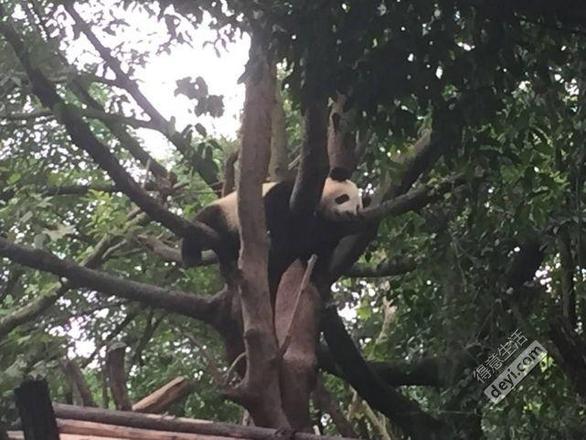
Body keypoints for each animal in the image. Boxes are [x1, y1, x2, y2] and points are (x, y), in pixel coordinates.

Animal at [180, 167, 362, 294]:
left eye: (358, 207)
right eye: (343, 198)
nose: (350, 214)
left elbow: (317, 249)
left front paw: (316, 274)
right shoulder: (292, 191)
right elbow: (275, 208)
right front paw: (279, 237)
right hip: (226, 213)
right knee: (203, 222)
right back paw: (191, 255)